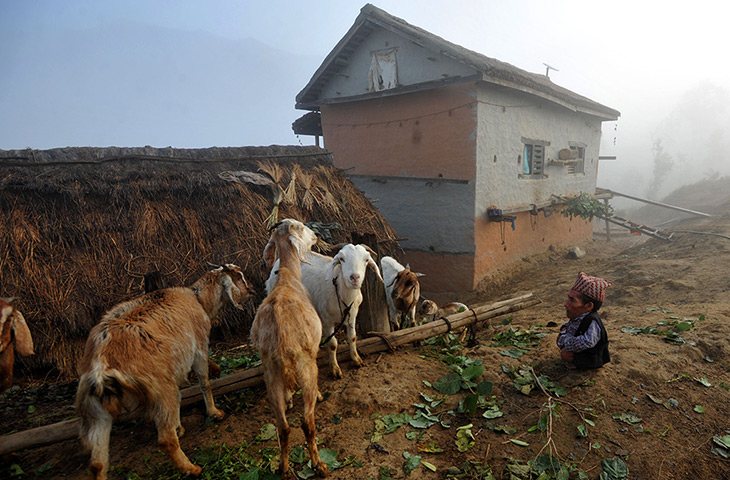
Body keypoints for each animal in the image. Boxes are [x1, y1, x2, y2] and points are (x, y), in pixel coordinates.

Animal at [74, 264, 250, 478]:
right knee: (166, 440)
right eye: (240, 277)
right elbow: (204, 382)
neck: (198, 299)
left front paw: (179, 427)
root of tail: (101, 366)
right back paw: (191, 469)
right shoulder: (199, 347)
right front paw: (214, 412)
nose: (251, 292)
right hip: (161, 387)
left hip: (95, 410)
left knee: (97, 464)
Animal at [252, 219, 328, 478]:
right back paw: (319, 465)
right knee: (307, 423)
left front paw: (289, 398)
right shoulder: (312, 354)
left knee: (283, 427)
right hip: (305, 365)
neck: (287, 277)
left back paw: (283, 468)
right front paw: (319, 394)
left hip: (271, 372)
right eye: (301, 227)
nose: (316, 236)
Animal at [264, 244, 384, 378]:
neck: (342, 294)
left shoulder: (352, 316)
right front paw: (335, 369)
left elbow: (352, 337)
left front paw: (356, 360)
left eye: (366, 260)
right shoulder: (327, 321)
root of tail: (279, 262)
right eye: (341, 259)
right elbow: (332, 344)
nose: (354, 277)